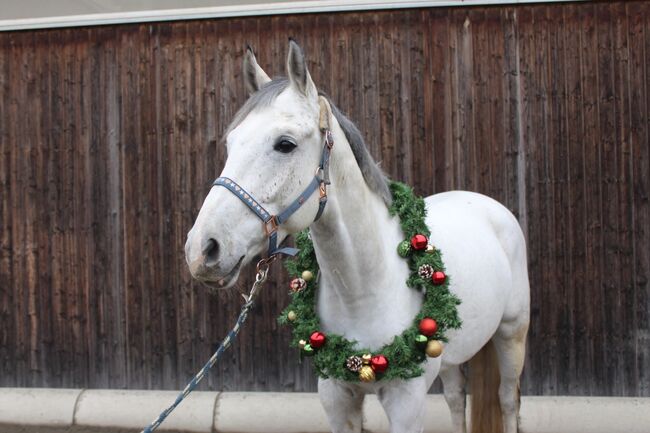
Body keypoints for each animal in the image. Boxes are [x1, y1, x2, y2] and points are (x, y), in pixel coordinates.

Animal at [185, 40, 528, 432]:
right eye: (231, 144)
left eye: (285, 144)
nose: (202, 250)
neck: (366, 287)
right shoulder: (337, 399)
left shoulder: (407, 404)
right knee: (457, 400)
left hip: (511, 336)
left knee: (507, 400)